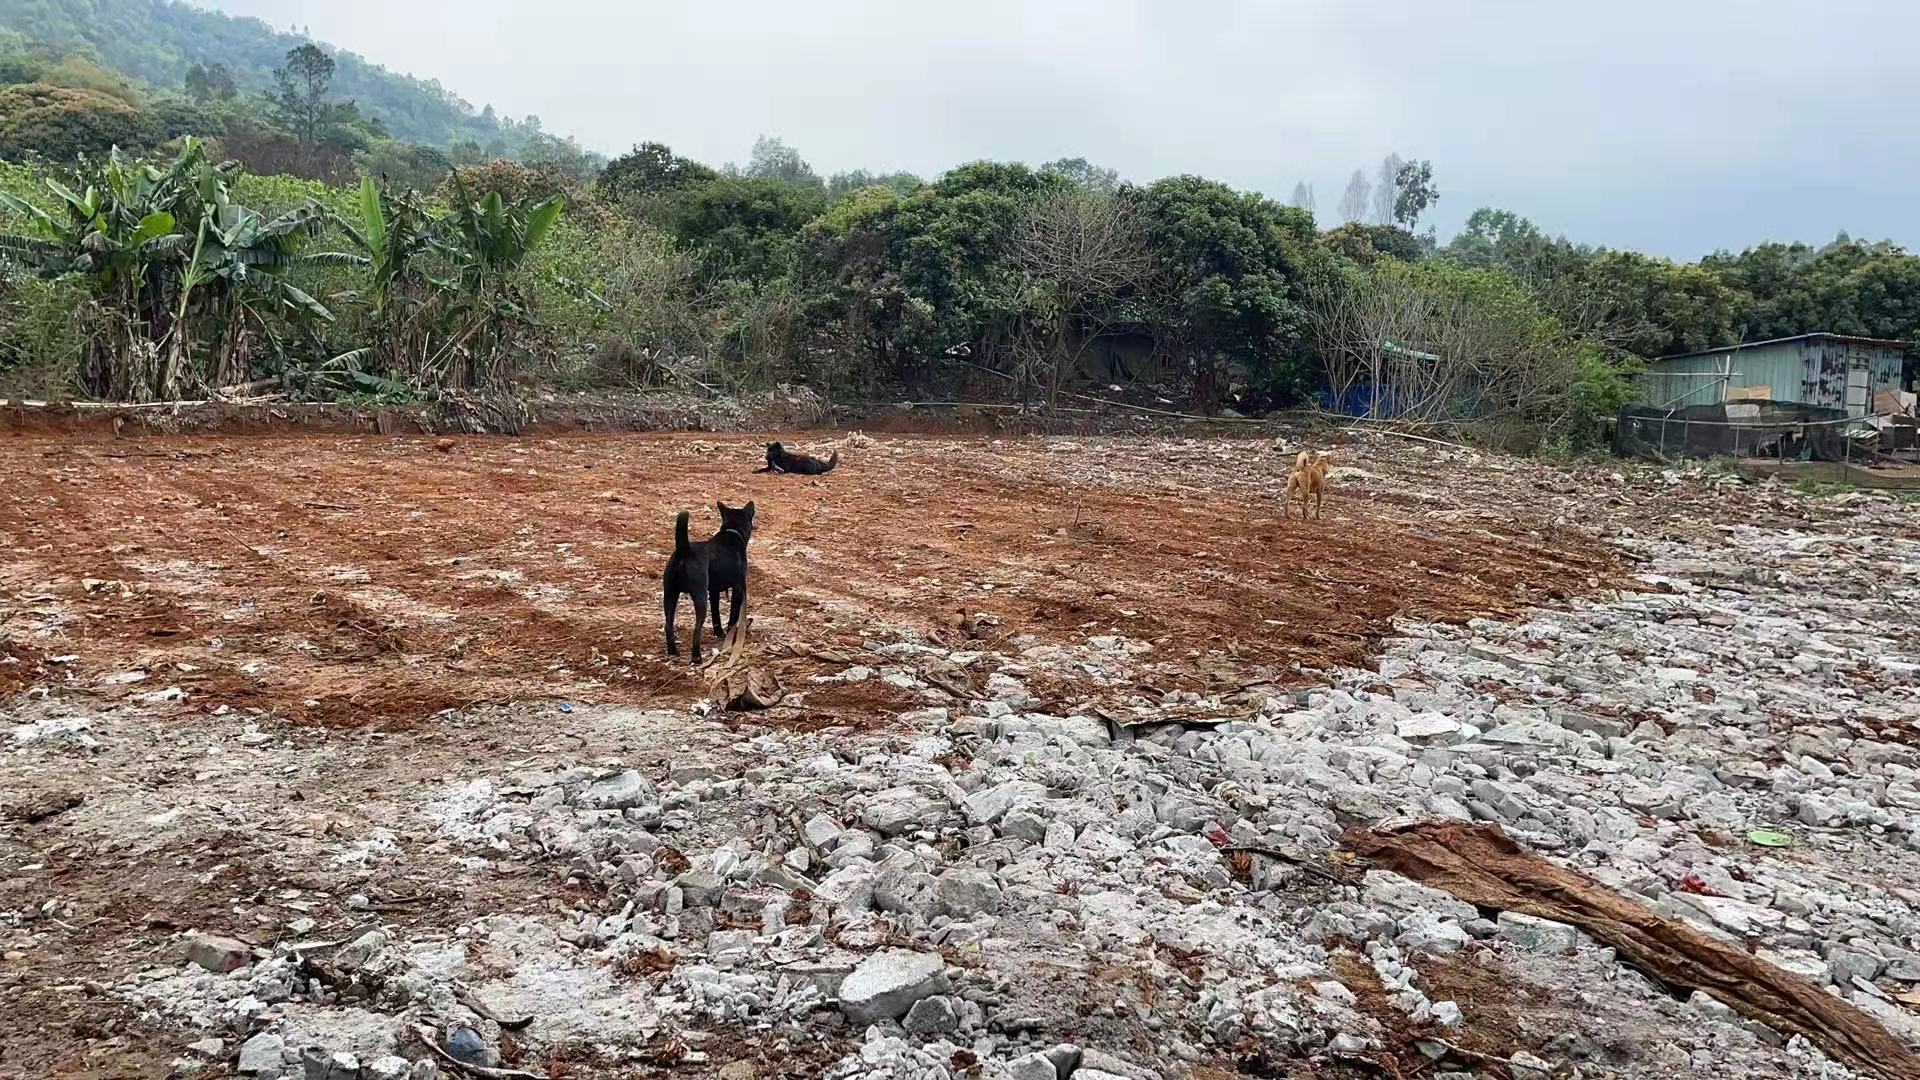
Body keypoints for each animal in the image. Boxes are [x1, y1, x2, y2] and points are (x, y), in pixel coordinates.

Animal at [660, 499, 748, 661]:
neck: (730, 533)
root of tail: (684, 551)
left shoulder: (713, 591)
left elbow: (716, 614)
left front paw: (720, 633)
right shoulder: (739, 588)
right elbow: (733, 616)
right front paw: (730, 633)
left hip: (669, 594)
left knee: (668, 625)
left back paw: (673, 652)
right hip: (699, 597)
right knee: (697, 628)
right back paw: (697, 658)